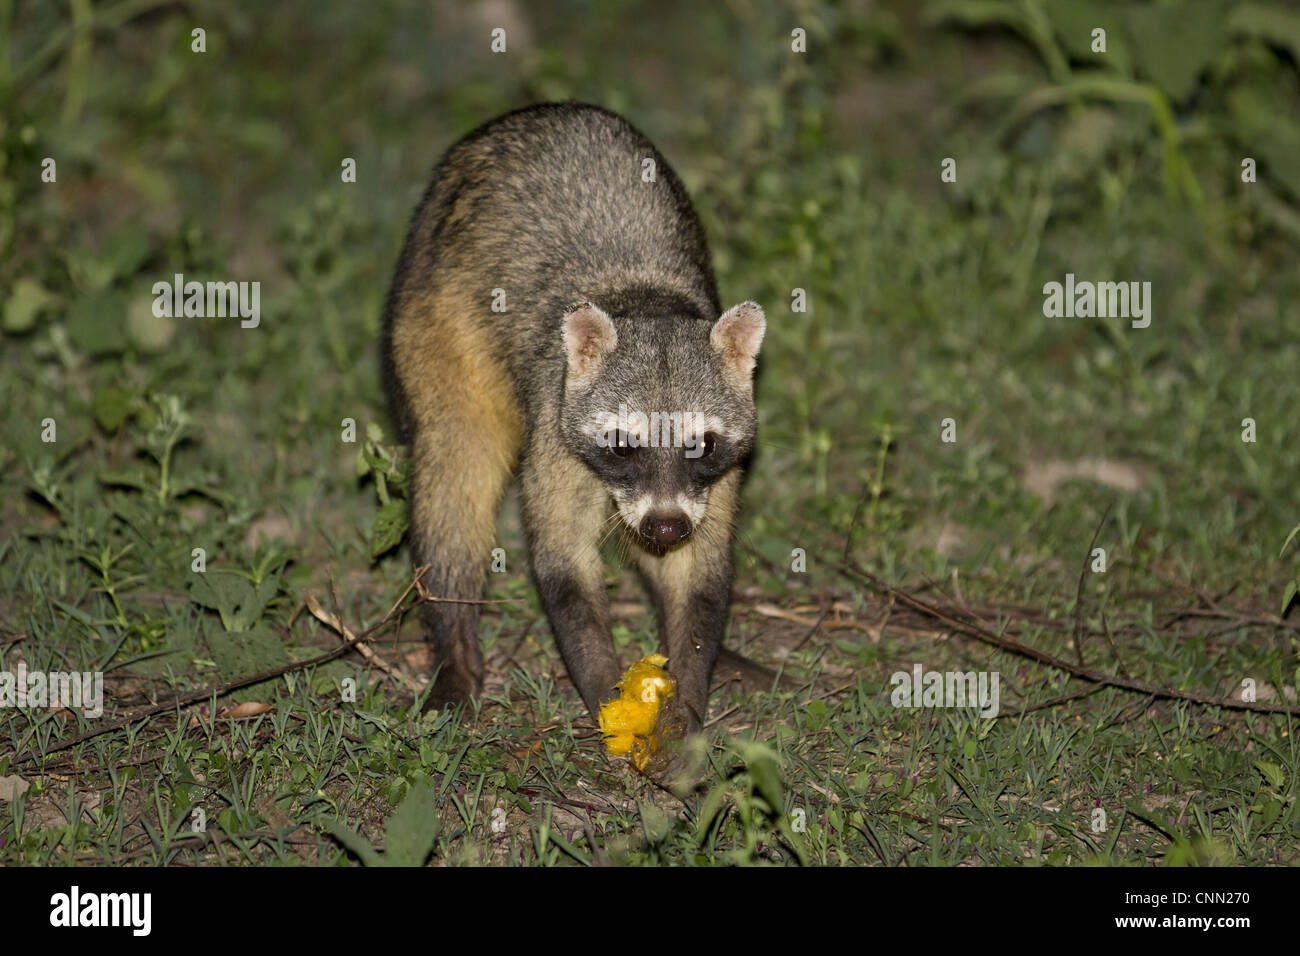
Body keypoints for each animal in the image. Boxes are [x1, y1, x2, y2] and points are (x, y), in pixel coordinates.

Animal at [381, 102, 764, 733]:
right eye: (624, 445)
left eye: (700, 446)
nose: (665, 527)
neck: (646, 300)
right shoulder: (555, 419)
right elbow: (564, 564)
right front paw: (607, 689)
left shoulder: (717, 476)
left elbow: (697, 569)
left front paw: (689, 680)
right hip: (431, 318)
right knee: (455, 471)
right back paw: (453, 637)